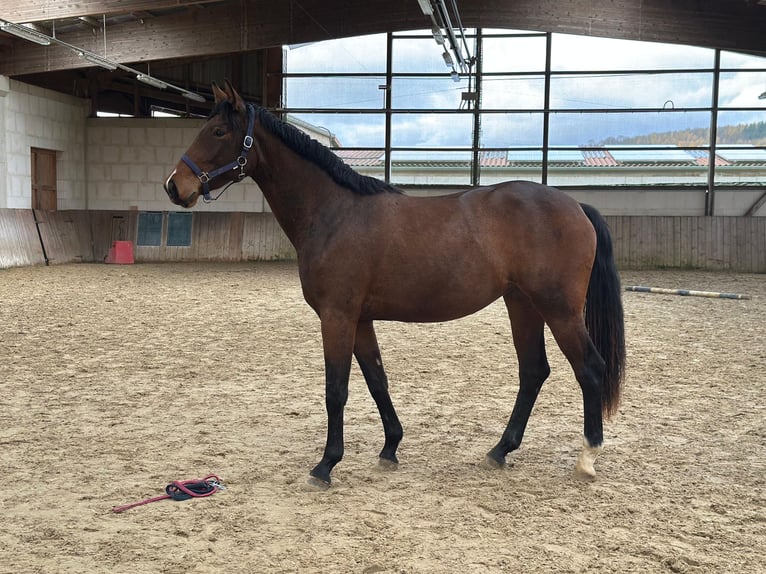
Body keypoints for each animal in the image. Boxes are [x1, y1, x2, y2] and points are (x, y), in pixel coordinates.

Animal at [164, 81, 626, 488]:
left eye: (218, 132)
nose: (174, 186)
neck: (334, 213)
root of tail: (576, 206)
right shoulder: (360, 320)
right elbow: (376, 380)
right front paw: (390, 448)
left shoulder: (337, 316)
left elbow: (337, 389)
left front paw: (325, 466)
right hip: (522, 305)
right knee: (533, 371)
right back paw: (499, 450)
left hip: (559, 309)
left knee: (589, 367)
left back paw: (587, 458)